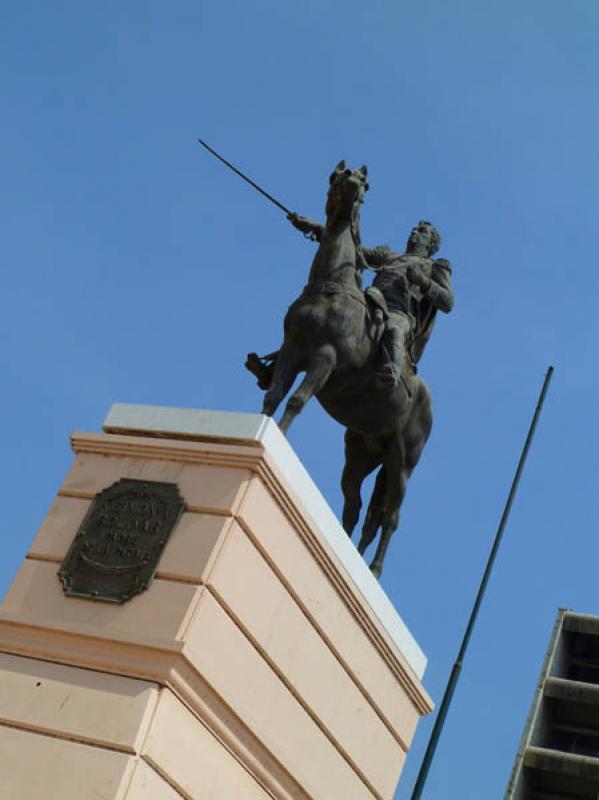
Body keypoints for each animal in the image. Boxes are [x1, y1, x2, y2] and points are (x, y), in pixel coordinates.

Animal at [262, 162, 432, 576]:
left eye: (364, 182)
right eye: (339, 176)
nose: (352, 190)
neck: (331, 286)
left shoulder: (324, 358)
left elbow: (297, 400)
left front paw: (280, 435)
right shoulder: (292, 350)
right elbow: (274, 395)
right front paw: (264, 425)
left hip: (402, 463)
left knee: (390, 518)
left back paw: (374, 568)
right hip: (362, 453)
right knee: (355, 506)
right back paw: (344, 544)